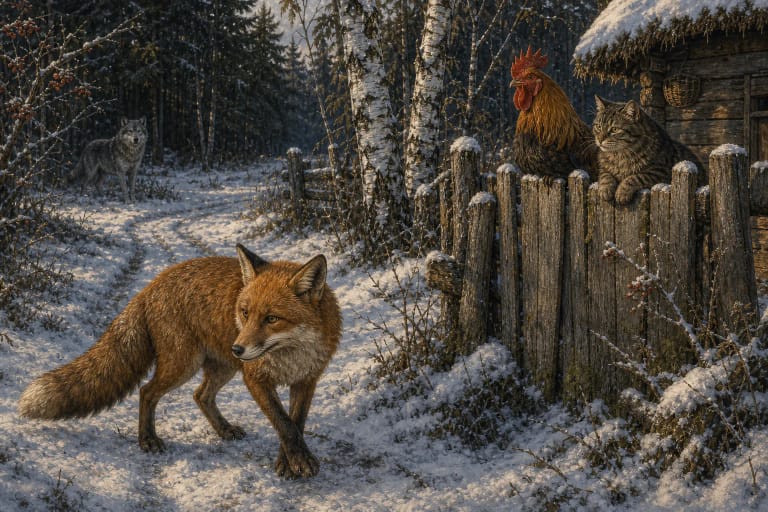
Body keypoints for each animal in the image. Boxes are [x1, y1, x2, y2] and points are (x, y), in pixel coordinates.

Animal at [18, 244, 341, 478]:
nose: (238, 348)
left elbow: (295, 423)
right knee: (147, 391)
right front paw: (297, 461)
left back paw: (223, 430)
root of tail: (151, 285)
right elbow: (283, 423)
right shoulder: (255, 378)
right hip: (185, 365)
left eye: (272, 319)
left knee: (200, 395)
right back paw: (147, 439)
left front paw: (289, 461)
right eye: (245, 313)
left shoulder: (307, 380)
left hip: (221, 367)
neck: (291, 354)